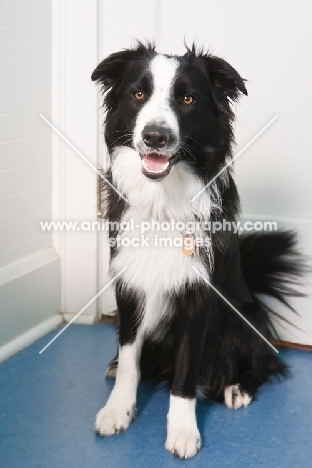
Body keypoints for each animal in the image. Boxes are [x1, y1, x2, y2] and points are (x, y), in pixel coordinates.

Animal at [91, 42, 302, 458]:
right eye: (138, 94)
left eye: (187, 99)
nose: (155, 136)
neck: (162, 199)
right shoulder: (129, 284)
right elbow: (130, 356)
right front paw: (118, 409)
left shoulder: (198, 295)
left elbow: (187, 368)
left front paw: (183, 430)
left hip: (244, 315)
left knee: (264, 361)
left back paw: (238, 387)